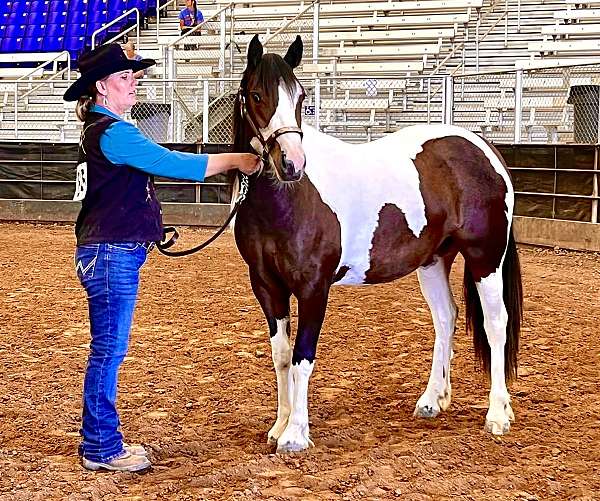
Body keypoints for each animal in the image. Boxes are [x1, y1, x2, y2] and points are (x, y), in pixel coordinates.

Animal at [232, 33, 524, 452]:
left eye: (301, 97)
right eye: (256, 95)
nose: (292, 163)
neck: (289, 199)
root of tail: (485, 148)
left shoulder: (313, 288)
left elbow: (303, 357)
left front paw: (296, 434)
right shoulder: (266, 285)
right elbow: (282, 356)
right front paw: (279, 425)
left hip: (486, 258)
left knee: (496, 322)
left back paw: (498, 414)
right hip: (433, 261)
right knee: (445, 318)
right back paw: (432, 400)